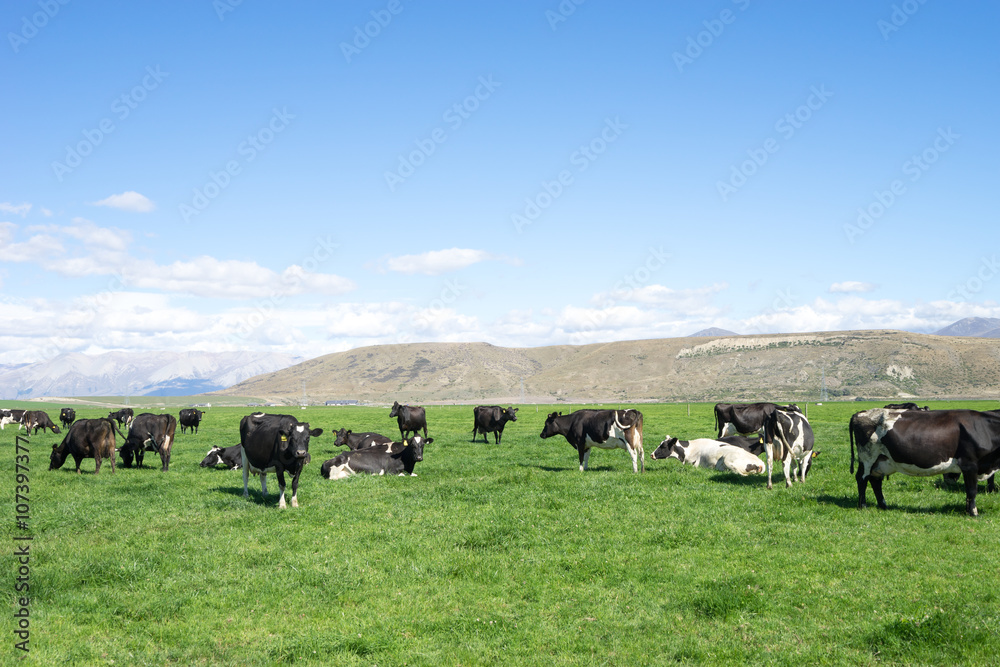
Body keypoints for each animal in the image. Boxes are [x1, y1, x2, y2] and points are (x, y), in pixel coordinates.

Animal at [848, 408, 1000, 516]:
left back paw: (883, 505)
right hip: (867, 457)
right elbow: (972, 491)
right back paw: (863, 506)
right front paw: (973, 513)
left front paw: (968, 510)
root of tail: (860, 413)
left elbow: (970, 492)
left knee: (875, 481)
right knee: (862, 478)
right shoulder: (969, 465)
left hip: (881, 461)